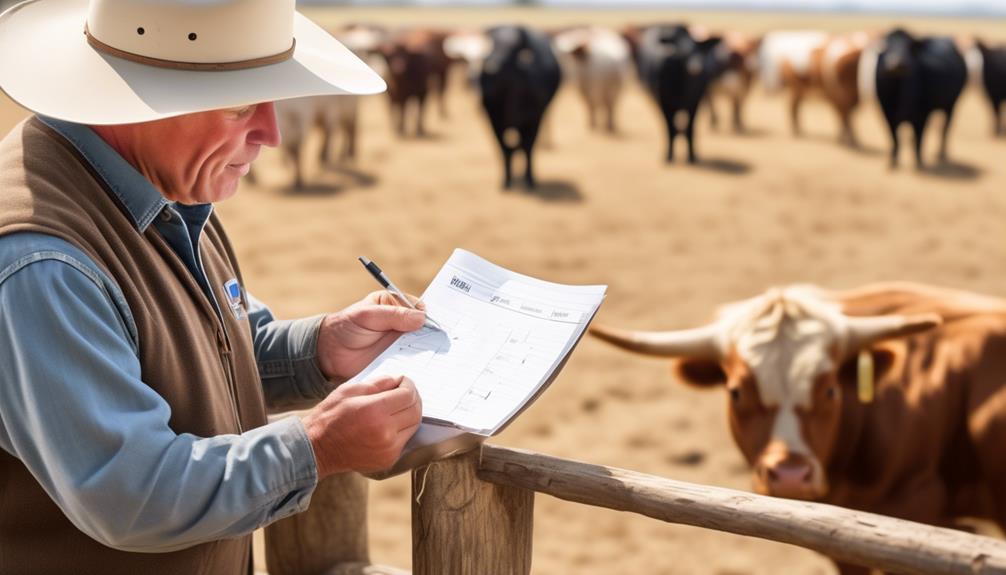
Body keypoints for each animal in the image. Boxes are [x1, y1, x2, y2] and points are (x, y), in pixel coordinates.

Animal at [476, 25, 559, 189]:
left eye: (512, 50)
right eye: (494, 45)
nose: (492, 66)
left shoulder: (534, 119)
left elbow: (527, 147)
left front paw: (529, 180)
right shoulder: (494, 122)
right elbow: (505, 149)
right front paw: (506, 181)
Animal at [631, 25, 728, 163]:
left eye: (699, 50)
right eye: (683, 52)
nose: (696, 66)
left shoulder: (695, 103)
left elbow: (689, 128)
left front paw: (692, 157)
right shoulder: (664, 104)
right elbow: (670, 128)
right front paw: (669, 156)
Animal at [861, 29, 969, 168]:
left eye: (909, 46)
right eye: (888, 45)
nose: (898, 64)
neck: (899, 93)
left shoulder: (922, 115)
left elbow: (919, 139)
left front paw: (919, 162)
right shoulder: (886, 114)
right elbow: (894, 138)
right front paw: (892, 162)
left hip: (951, 105)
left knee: (945, 128)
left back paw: (941, 153)